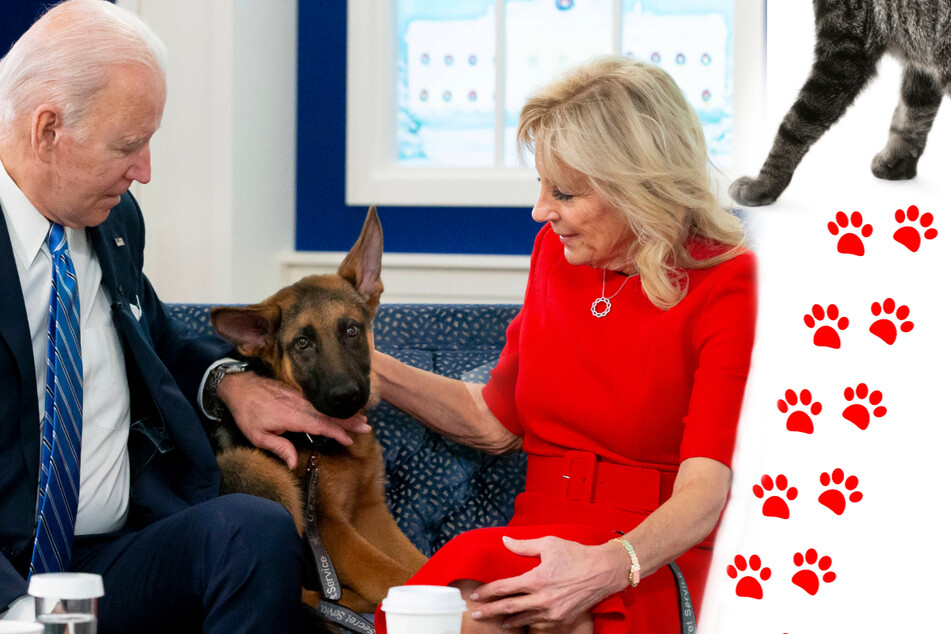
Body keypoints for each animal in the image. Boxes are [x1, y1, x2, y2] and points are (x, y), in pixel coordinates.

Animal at [213, 207, 432, 612]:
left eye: (351, 330)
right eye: (302, 343)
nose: (346, 396)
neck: (321, 442)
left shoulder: (369, 510)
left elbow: (417, 561)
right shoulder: (331, 528)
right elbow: (391, 574)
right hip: (256, 468)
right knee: (302, 594)